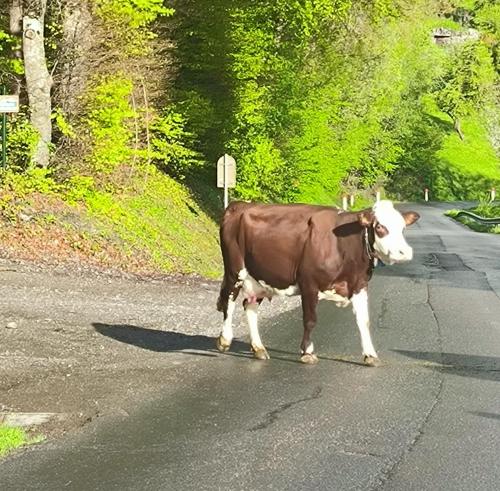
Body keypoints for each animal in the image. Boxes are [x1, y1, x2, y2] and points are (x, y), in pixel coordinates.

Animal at [214, 199, 418, 366]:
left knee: (249, 306)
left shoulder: (359, 285)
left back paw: (259, 348)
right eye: (380, 227)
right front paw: (307, 352)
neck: (344, 246)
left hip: (260, 277)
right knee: (230, 301)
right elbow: (310, 320)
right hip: (235, 270)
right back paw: (225, 339)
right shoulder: (309, 284)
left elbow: (364, 320)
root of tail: (238, 205)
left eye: (403, 228)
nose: (405, 253)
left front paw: (370, 355)